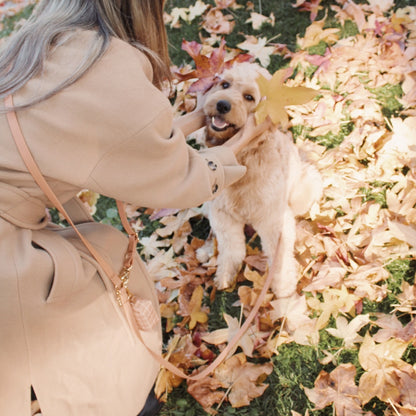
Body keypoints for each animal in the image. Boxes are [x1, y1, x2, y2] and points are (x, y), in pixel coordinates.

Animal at [203, 61, 324, 298]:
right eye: (225, 84)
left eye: (249, 97)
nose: (222, 104)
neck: (243, 158)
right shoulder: (222, 214)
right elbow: (231, 248)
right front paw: (225, 274)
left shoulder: (274, 220)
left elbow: (280, 258)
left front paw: (284, 288)